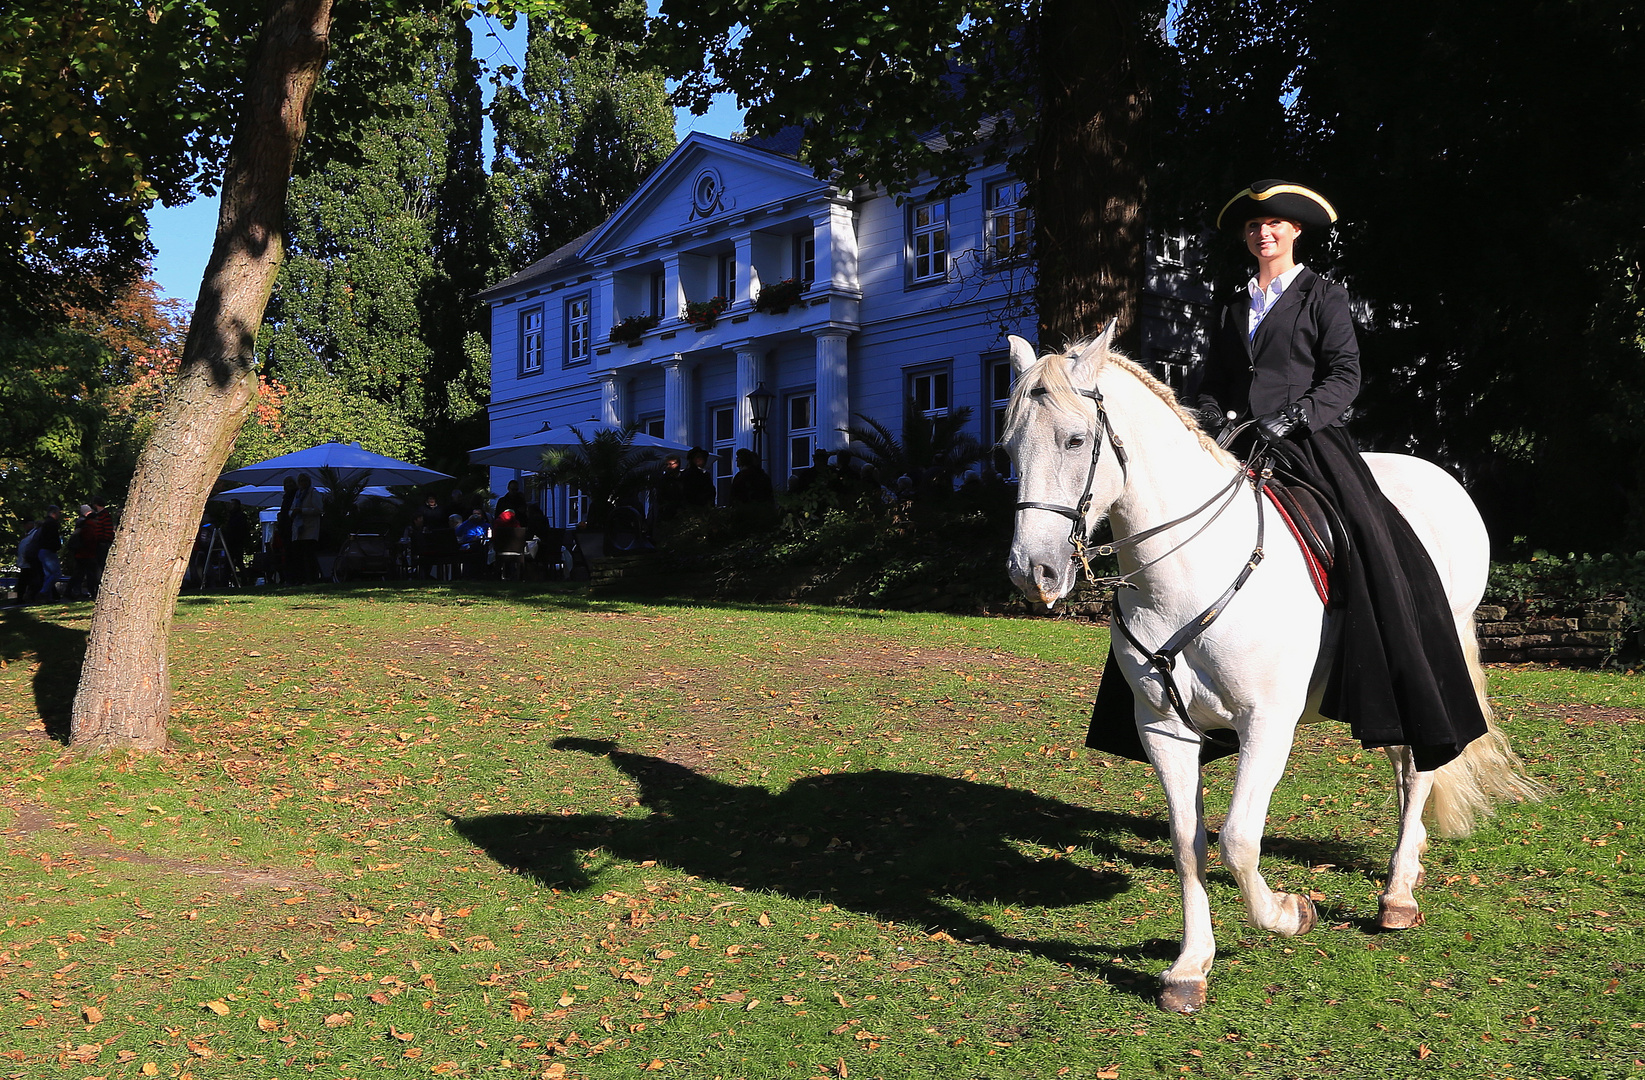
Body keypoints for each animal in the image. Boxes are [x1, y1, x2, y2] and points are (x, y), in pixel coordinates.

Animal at [1000, 327, 1539, 1012]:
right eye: (1010, 447)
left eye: (1075, 439)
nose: (1032, 573)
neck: (1186, 571)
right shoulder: (1163, 728)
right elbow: (1189, 842)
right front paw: (1190, 966)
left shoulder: (1267, 723)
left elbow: (1237, 839)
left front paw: (1289, 913)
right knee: (1403, 764)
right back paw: (1408, 857)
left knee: (1420, 764)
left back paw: (1397, 893)